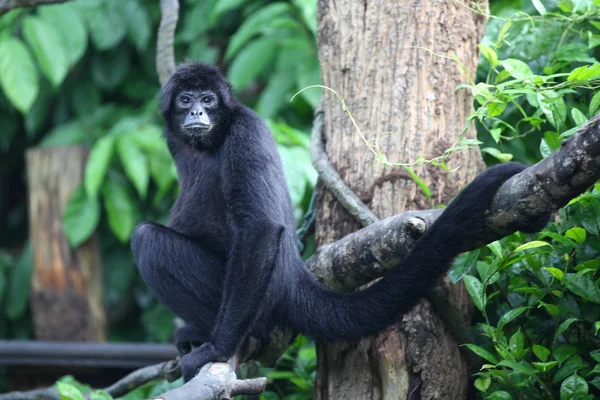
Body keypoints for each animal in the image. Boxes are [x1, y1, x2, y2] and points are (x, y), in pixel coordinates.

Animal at [131, 61, 544, 382]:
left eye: (208, 100)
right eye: (186, 100)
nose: (196, 114)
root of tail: (292, 278)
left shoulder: (243, 132)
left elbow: (260, 228)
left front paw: (217, 348)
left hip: (258, 300)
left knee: (147, 239)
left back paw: (231, 336)